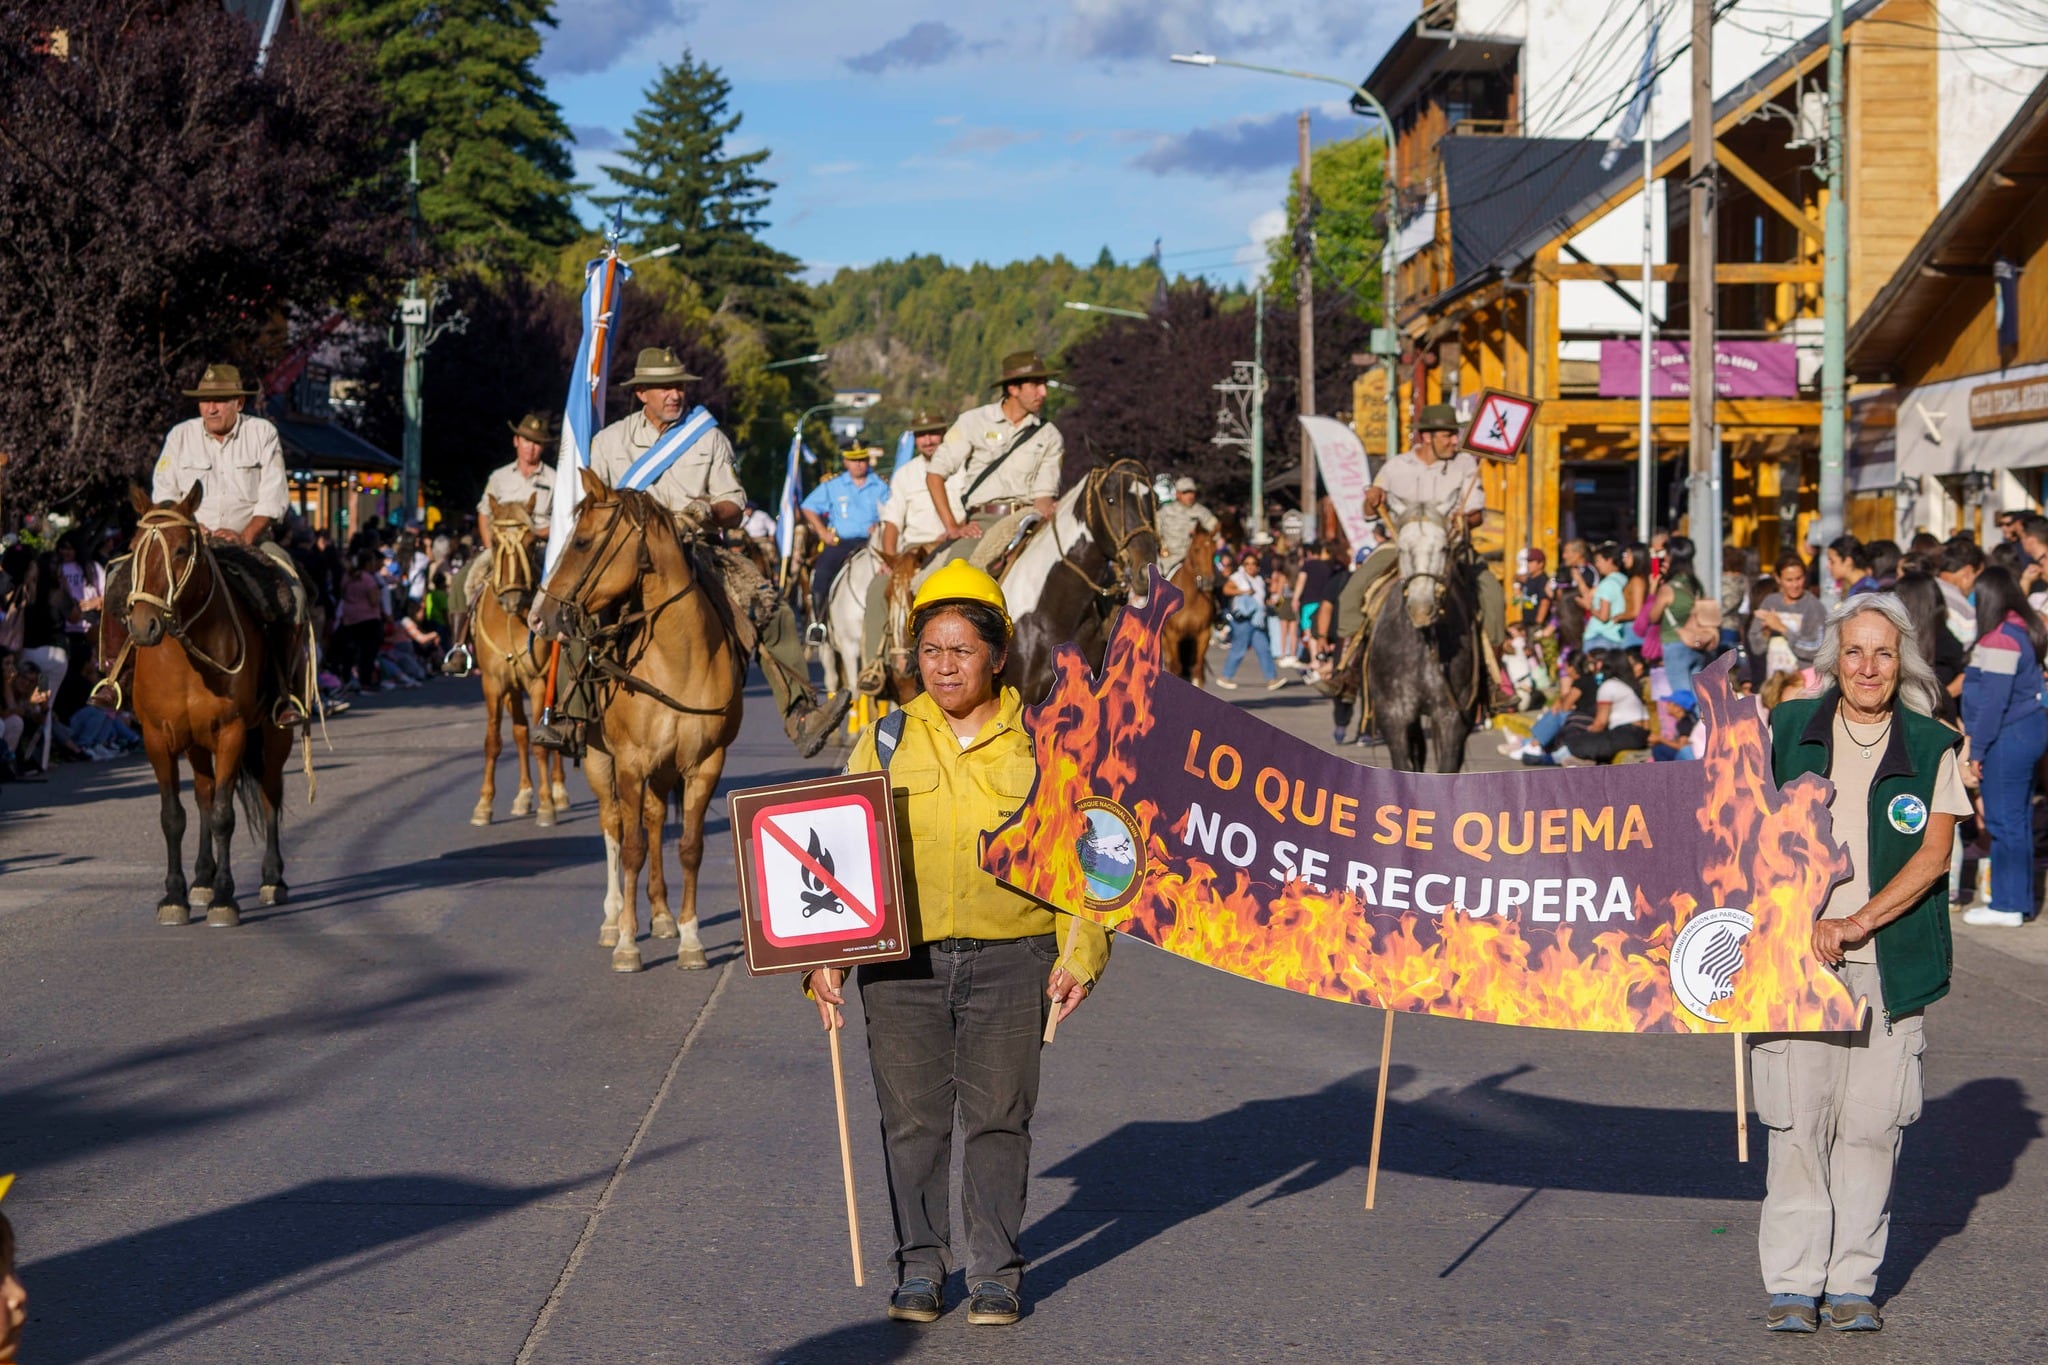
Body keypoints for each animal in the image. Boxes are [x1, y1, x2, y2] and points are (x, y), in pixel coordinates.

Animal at [120, 482, 292, 929]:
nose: (143, 625)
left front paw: (225, 899)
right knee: (203, 791)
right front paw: (175, 895)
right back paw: (201, 879)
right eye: (133, 547)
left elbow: (223, 816)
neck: (185, 659)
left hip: (273, 734)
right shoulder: (156, 738)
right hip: (195, 742)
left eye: (182, 549)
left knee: (269, 792)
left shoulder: (232, 733)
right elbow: (174, 816)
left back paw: (272, 879)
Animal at [468, 497, 569, 826]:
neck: (511, 620)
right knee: (521, 732)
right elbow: (495, 741)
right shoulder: (493, 683)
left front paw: (548, 804)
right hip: (512, 689)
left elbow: (542, 744)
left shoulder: (538, 682)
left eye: (531, 541)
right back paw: (524, 795)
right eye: (495, 541)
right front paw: (484, 805)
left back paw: (559, 792)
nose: (512, 598)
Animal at [536, 470, 745, 970]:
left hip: (663, 770)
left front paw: (690, 938)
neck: (677, 658)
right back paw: (613, 920)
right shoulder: (630, 763)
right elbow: (629, 848)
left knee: (652, 820)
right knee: (614, 825)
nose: (540, 617)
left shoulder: (705, 764)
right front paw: (629, 944)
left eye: (582, 542)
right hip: (600, 761)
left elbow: (689, 847)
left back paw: (663, 914)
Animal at [1155, 527, 1212, 695]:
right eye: (1197, 549)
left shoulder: (1203, 635)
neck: (1191, 598)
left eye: (1214, 549)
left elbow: (1197, 669)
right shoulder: (1173, 636)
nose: (1208, 581)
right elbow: (1176, 668)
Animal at [1368, 507, 1482, 773]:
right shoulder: (1393, 713)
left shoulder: (1453, 715)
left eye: (1444, 548)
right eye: (1401, 548)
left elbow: (1448, 766)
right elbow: (1403, 763)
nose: (1421, 609)